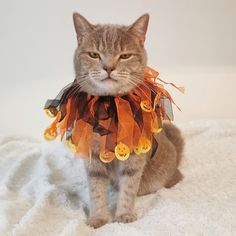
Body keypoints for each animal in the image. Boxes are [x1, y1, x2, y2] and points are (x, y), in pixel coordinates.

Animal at [72, 12, 184, 228]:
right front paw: (98, 218)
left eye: (125, 56)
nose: (108, 67)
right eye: (94, 55)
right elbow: (96, 190)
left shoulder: (134, 156)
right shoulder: (93, 157)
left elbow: (129, 187)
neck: (111, 105)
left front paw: (124, 215)